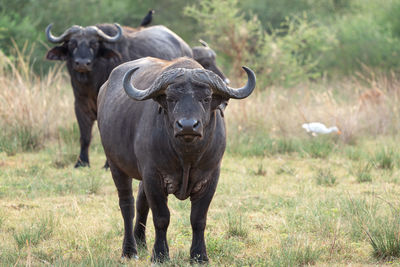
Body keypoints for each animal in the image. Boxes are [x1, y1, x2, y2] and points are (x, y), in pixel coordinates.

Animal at [45, 24, 192, 169]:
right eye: (72, 43)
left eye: (94, 44)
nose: (82, 63)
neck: (92, 83)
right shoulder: (80, 104)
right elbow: (85, 136)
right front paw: (81, 162)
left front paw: (107, 165)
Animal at [97, 57, 256, 264]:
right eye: (171, 98)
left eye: (206, 98)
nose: (187, 125)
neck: (186, 156)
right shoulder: (153, 175)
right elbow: (161, 217)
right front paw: (160, 255)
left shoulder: (211, 177)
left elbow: (198, 219)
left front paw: (199, 256)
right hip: (116, 165)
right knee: (127, 205)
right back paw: (130, 250)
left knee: (141, 202)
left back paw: (141, 242)